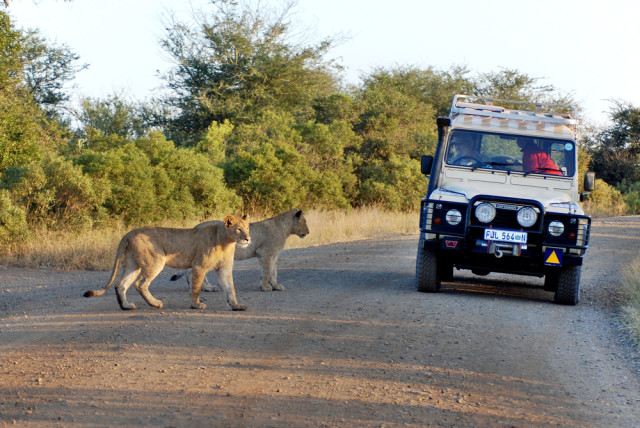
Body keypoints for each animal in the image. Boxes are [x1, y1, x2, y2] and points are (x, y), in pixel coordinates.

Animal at [84, 214, 252, 310]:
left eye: (248, 228)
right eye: (239, 229)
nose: (248, 239)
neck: (226, 241)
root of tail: (129, 233)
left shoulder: (224, 269)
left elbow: (230, 288)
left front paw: (236, 305)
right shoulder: (199, 265)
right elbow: (196, 287)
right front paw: (196, 305)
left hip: (133, 265)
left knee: (121, 285)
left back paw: (126, 306)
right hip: (156, 260)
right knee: (140, 284)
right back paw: (155, 303)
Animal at [170, 209, 310, 292]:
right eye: (305, 221)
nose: (308, 232)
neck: (285, 228)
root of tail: (196, 227)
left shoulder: (273, 255)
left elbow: (273, 272)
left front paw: (276, 286)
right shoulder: (264, 253)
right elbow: (267, 272)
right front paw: (265, 287)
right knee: (192, 271)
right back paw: (205, 288)